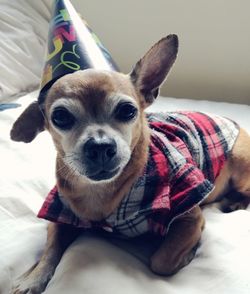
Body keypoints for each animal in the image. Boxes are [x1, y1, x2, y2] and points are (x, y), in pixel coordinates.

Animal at [9, 35, 250, 294]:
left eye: (127, 111)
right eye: (60, 117)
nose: (100, 146)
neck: (102, 192)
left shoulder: (190, 218)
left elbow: (161, 261)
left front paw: (187, 254)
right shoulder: (61, 215)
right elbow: (51, 248)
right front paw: (33, 277)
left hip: (240, 167)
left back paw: (236, 201)